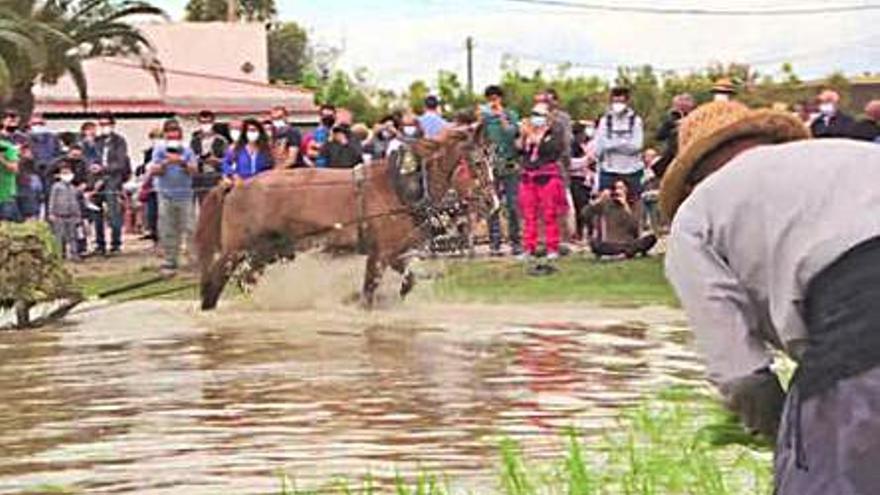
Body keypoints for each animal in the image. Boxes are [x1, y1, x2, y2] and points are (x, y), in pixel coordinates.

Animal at [197, 130, 498, 312]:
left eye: (490, 161)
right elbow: (369, 291)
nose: (493, 203)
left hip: (267, 251)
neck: (399, 188)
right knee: (215, 282)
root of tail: (236, 185)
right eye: (478, 164)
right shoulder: (379, 255)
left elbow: (408, 282)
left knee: (246, 280)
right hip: (236, 250)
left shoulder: (395, 254)